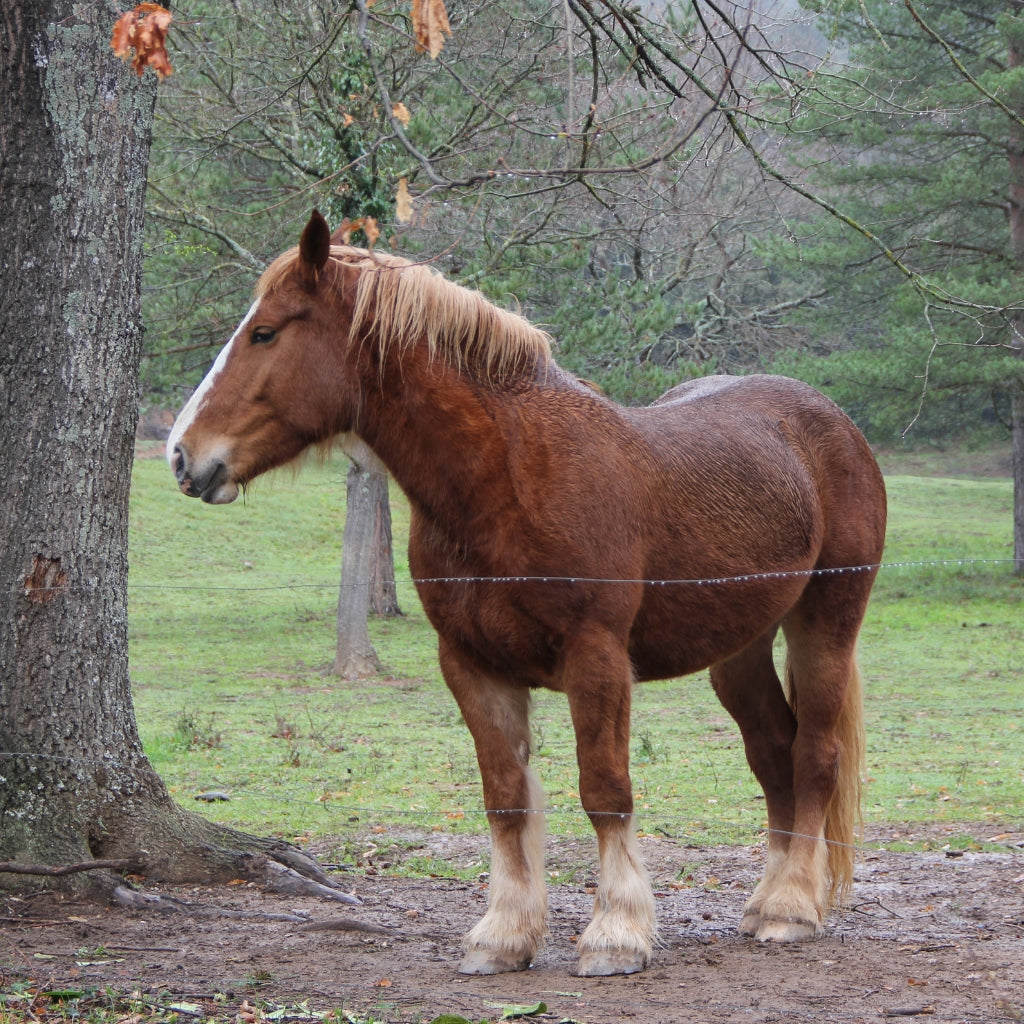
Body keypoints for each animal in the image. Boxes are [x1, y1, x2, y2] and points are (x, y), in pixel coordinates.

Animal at [169, 207, 888, 974]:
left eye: (266, 332)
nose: (183, 456)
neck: (506, 478)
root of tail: (833, 422)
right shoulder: (472, 665)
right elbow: (506, 797)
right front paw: (505, 933)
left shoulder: (595, 658)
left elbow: (605, 789)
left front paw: (616, 932)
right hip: (739, 649)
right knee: (773, 754)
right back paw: (766, 900)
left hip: (824, 626)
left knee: (814, 757)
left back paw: (792, 909)